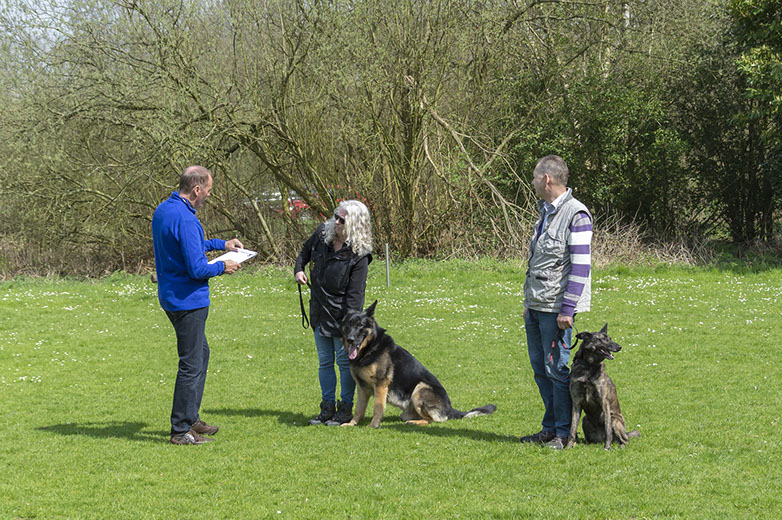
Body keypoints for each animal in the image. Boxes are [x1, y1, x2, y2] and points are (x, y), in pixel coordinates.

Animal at [340, 300, 496, 428]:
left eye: (360, 326)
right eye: (348, 326)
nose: (351, 339)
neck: (370, 348)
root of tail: (450, 408)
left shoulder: (381, 385)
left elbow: (377, 408)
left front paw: (374, 425)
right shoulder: (362, 388)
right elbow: (359, 409)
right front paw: (352, 423)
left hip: (420, 388)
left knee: (433, 420)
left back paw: (415, 422)